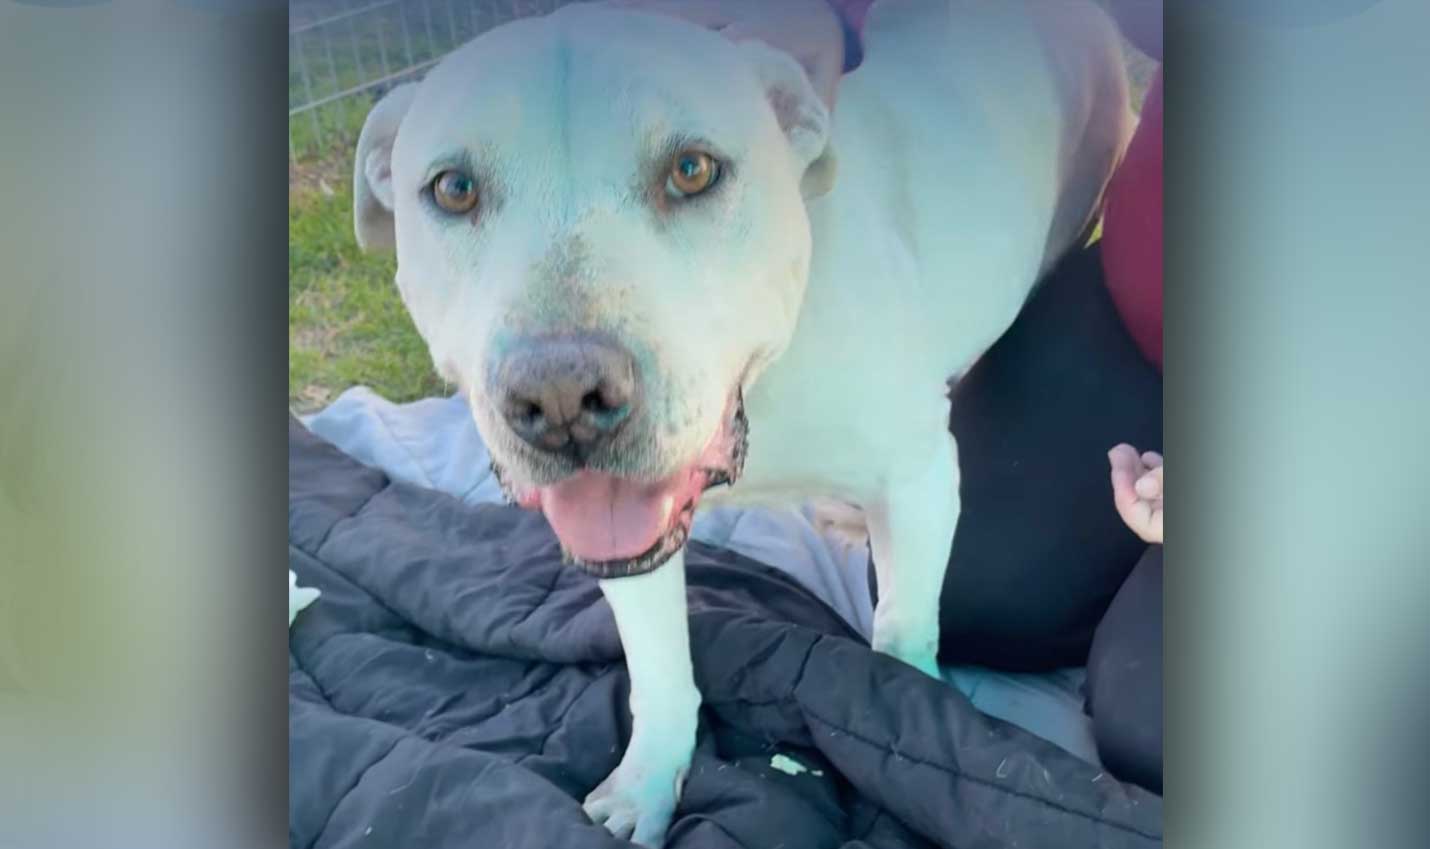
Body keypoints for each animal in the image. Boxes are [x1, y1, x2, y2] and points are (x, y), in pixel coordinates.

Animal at [351, 0, 1130, 843]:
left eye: (692, 170)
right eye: (454, 188)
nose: (562, 399)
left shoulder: (919, 481)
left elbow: (900, 629)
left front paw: (902, 721)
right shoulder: (624, 532)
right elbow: (658, 668)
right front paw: (647, 784)